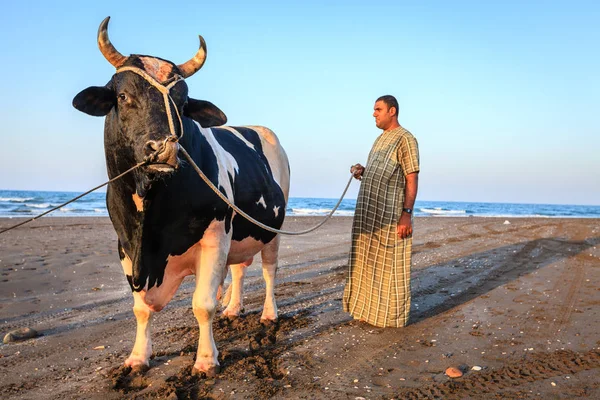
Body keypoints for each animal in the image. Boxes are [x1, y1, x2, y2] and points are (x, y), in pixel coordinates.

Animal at [71, 18, 290, 376]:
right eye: (123, 95)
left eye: (183, 103)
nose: (164, 147)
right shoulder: (125, 245)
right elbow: (141, 309)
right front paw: (138, 357)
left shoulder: (215, 236)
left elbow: (203, 304)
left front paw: (206, 359)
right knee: (239, 269)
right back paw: (234, 308)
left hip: (272, 229)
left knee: (269, 271)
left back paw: (269, 313)